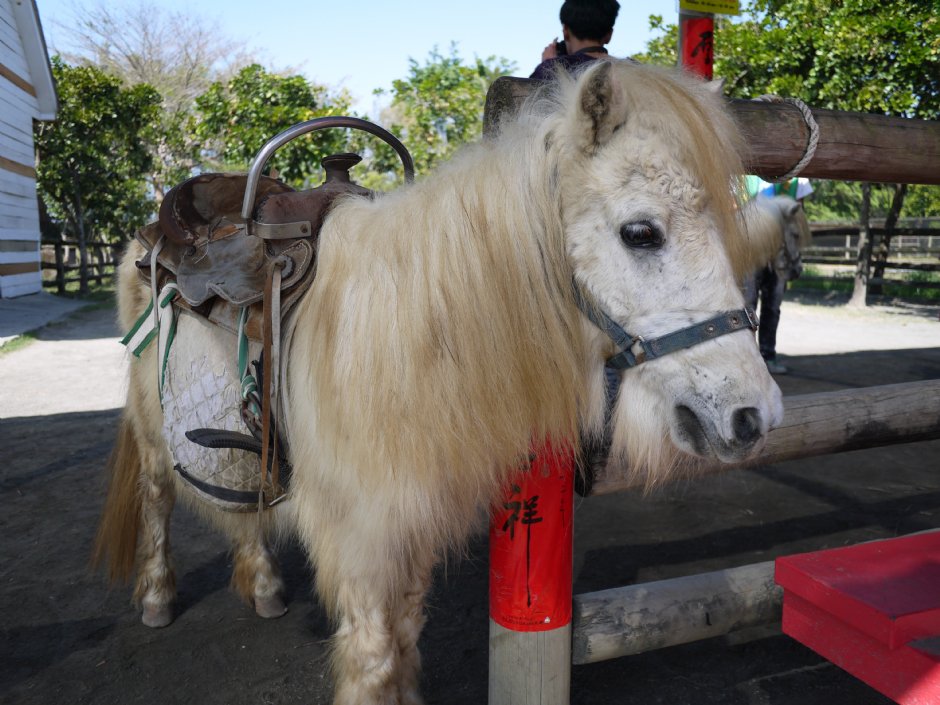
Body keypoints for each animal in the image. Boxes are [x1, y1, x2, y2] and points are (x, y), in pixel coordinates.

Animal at [94, 60, 784, 704]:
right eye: (641, 233)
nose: (755, 415)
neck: (409, 331)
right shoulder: (364, 541)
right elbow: (374, 659)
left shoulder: (412, 528)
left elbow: (404, 637)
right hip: (153, 435)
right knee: (157, 499)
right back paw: (156, 597)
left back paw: (262, 584)